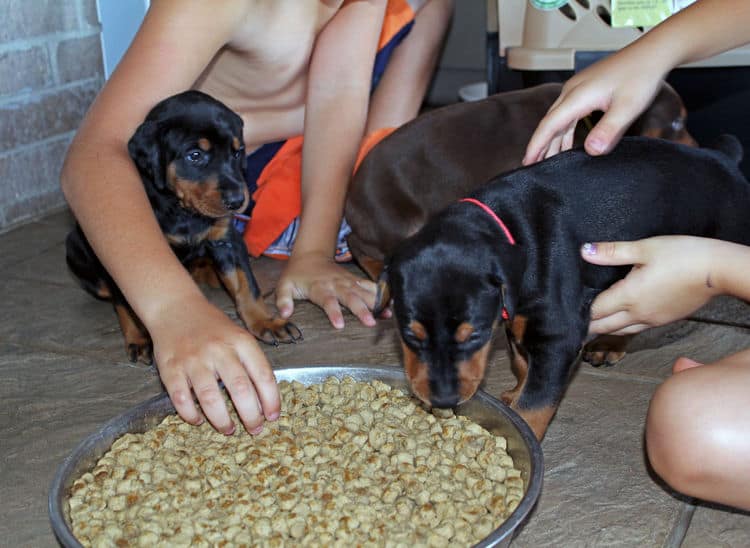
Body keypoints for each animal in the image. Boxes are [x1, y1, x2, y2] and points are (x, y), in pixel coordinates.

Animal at [64, 90, 300, 364]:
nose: (237, 201)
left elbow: (246, 284)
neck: (183, 210)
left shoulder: (225, 238)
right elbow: (128, 303)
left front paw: (267, 321)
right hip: (76, 249)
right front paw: (139, 339)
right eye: (194, 155)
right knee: (113, 295)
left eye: (237, 151)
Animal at [376, 137, 750, 440]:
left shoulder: (558, 331)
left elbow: (538, 399)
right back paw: (609, 345)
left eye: (475, 335)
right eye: (409, 335)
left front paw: (525, 426)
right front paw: (515, 393)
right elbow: (523, 363)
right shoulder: (518, 315)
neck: (508, 227)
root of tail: (722, 158)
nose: (443, 399)